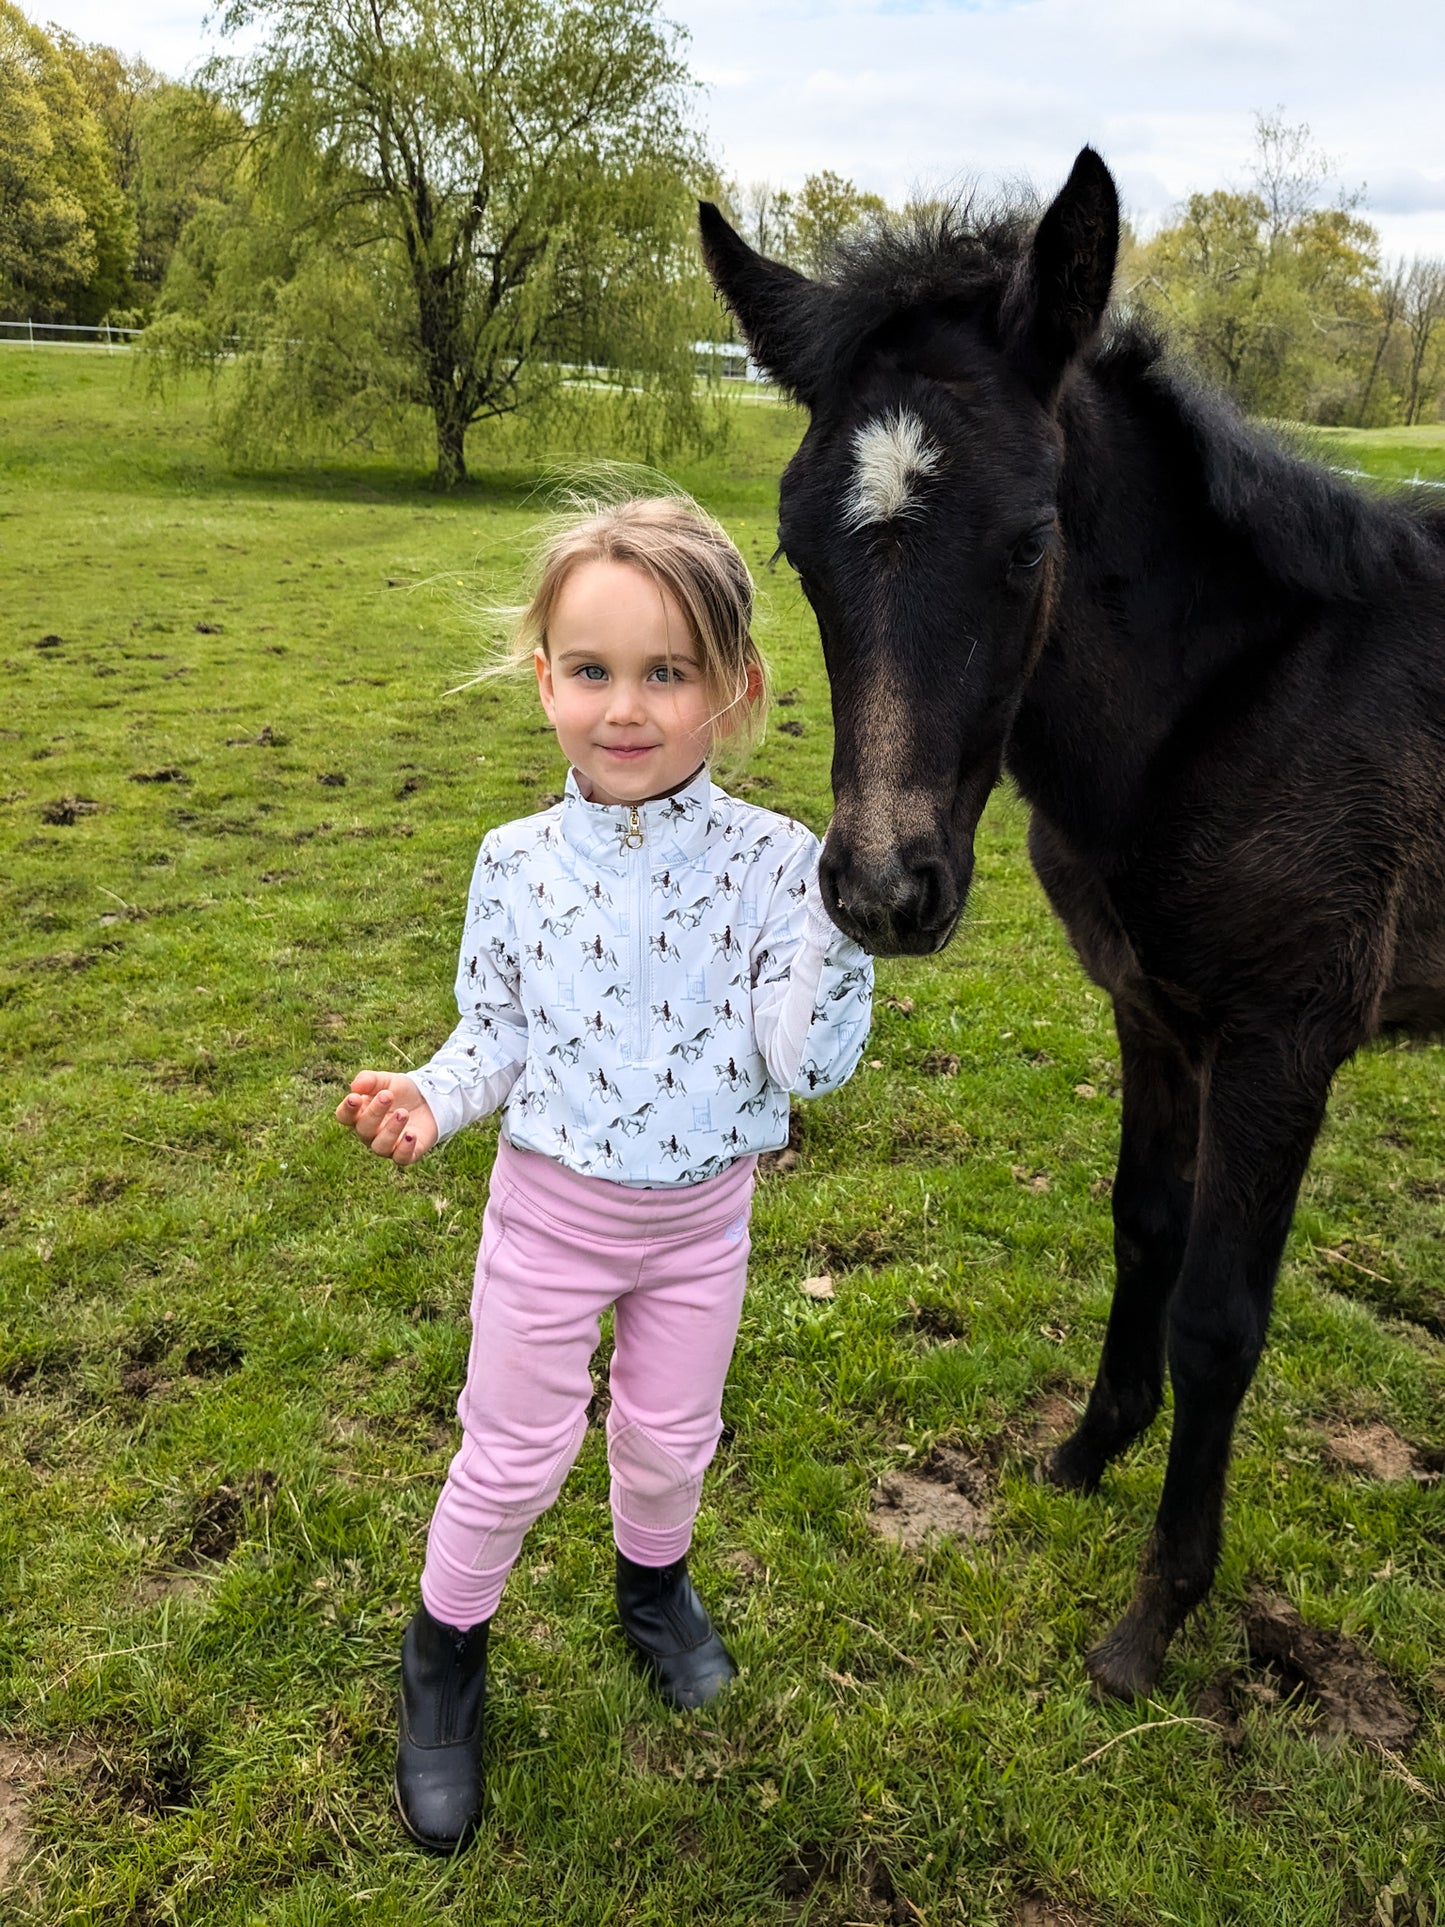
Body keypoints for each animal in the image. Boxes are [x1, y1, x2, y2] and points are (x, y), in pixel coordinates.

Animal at [699, 150, 1445, 1698]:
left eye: (1031, 539)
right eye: (792, 548)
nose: (882, 889)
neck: (1231, 708)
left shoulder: (1284, 1040)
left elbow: (1218, 1315)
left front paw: (1155, 1614)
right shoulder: (1153, 1011)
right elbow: (1141, 1227)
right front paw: (1086, 1451)